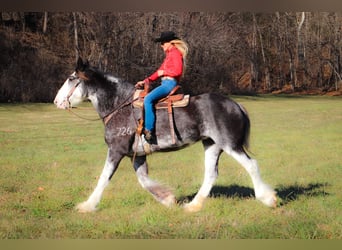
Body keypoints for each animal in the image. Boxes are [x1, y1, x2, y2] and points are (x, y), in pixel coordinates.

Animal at [54, 57, 278, 212]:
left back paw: (268, 199)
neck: (120, 106)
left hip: (230, 144)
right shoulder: (138, 155)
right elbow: (144, 180)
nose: (56, 101)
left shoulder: (116, 151)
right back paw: (193, 206)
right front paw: (168, 199)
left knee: (251, 165)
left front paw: (87, 205)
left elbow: (103, 178)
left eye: (71, 78)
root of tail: (236, 105)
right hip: (212, 145)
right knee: (211, 174)